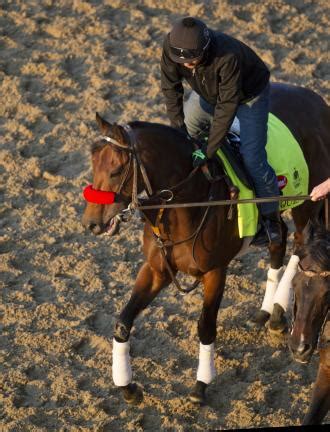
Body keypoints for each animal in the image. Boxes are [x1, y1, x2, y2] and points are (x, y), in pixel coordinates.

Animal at [82, 82, 330, 404]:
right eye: (92, 164)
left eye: (115, 170)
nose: (91, 222)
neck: (188, 202)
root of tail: (316, 100)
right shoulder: (156, 270)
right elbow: (123, 323)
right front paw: (127, 387)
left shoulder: (215, 272)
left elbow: (206, 327)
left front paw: (200, 385)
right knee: (280, 242)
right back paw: (269, 313)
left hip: (308, 203)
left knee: (300, 247)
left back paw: (277, 312)